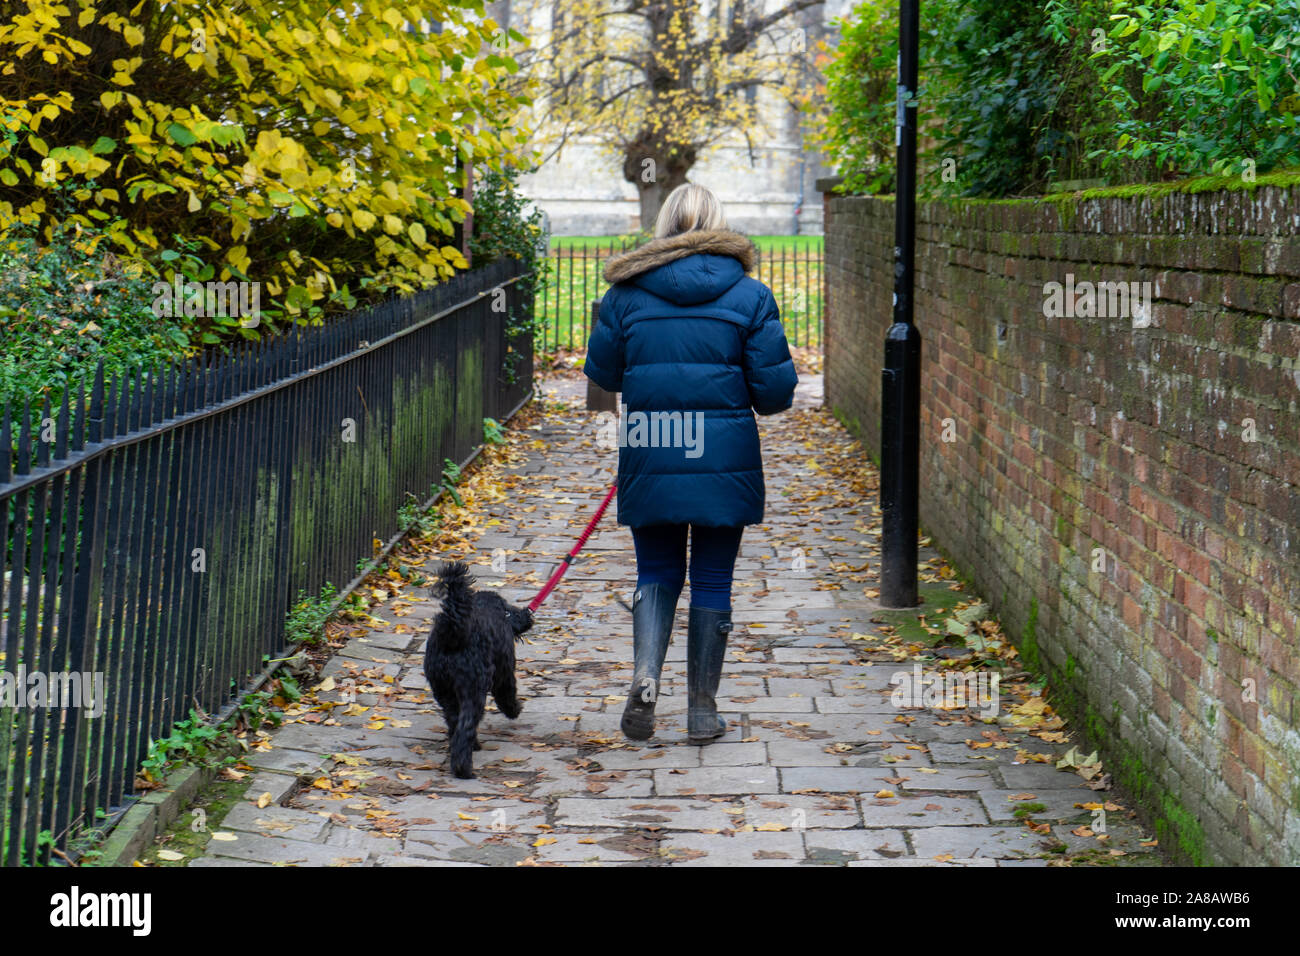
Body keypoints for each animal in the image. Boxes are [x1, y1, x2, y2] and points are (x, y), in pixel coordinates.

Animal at [421, 561, 533, 780]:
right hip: (473, 690)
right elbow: (507, 695)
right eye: (509, 610)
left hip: (445, 691)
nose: (526, 614)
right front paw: (514, 710)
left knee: (455, 722)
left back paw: (471, 747)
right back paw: (463, 768)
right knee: (466, 726)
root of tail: (452, 633)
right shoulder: (505, 673)